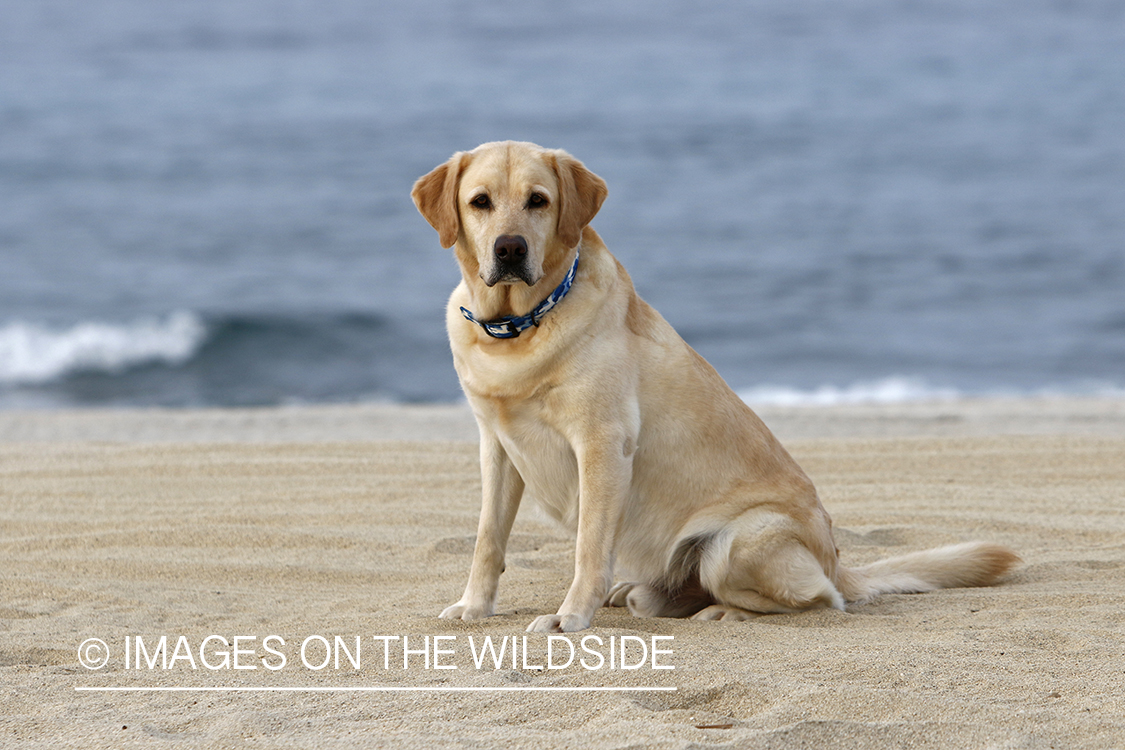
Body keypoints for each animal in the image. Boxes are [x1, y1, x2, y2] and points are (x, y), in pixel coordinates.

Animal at [414, 142, 1021, 634]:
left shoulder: (603, 444)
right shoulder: (497, 447)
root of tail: (836, 561)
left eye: (538, 201)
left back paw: (724, 611)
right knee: (656, 596)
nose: (510, 249)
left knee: (820, 600)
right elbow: (487, 540)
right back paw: (639, 592)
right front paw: (474, 607)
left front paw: (570, 616)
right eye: (480, 202)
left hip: (734, 545)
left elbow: (588, 546)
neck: (519, 329)